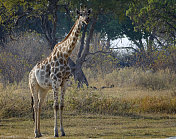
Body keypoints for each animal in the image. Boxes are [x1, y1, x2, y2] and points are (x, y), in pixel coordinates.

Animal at [28, 7, 91, 137]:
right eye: (80, 15)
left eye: (88, 14)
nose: (87, 20)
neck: (65, 55)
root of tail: (30, 72)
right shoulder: (55, 82)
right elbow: (55, 106)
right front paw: (55, 132)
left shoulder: (64, 82)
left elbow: (61, 105)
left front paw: (62, 131)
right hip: (33, 85)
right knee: (35, 105)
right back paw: (35, 132)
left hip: (43, 89)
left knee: (40, 105)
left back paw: (40, 132)